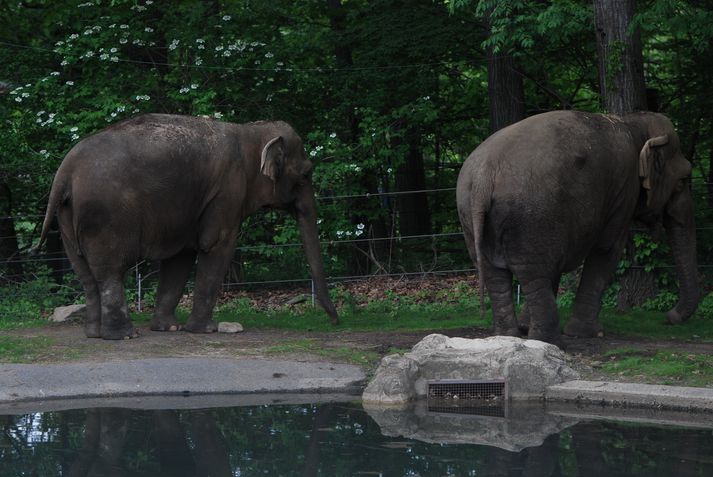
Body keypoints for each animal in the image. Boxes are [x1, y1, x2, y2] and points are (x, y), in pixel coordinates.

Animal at [36, 113, 340, 338]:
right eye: (306, 173)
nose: (335, 320)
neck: (250, 132)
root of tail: (64, 174)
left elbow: (181, 257)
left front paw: (169, 328)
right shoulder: (227, 192)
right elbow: (215, 246)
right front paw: (207, 330)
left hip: (67, 217)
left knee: (85, 274)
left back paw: (95, 334)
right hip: (104, 217)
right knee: (109, 271)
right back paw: (124, 335)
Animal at [458, 109, 700, 344]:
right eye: (682, 181)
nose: (670, 317)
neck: (632, 122)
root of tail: (482, 179)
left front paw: (527, 326)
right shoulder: (624, 190)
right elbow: (607, 250)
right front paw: (588, 333)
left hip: (473, 215)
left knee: (496, 274)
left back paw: (508, 336)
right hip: (531, 217)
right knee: (533, 275)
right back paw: (549, 341)